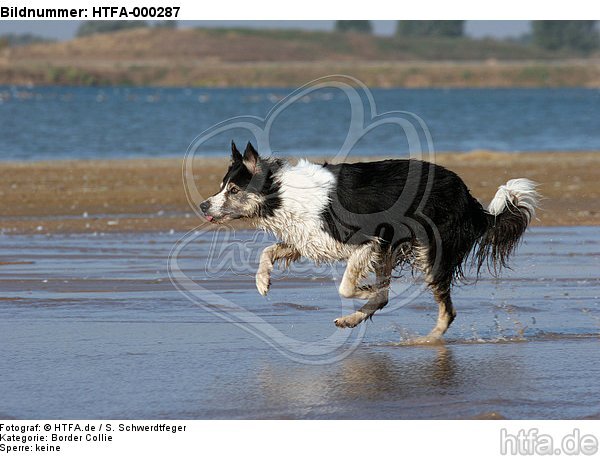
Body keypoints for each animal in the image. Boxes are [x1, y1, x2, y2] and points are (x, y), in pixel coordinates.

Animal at [200, 142, 540, 338]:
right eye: (221, 186)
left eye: (233, 189)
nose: (203, 205)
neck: (281, 194)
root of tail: (470, 200)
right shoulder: (310, 239)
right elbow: (268, 251)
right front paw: (262, 282)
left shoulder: (372, 239)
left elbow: (347, 287)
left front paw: (364, 290)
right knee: (393, 297)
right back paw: (352, 321)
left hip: (431, 250)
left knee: (445, 309)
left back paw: (426, 340)